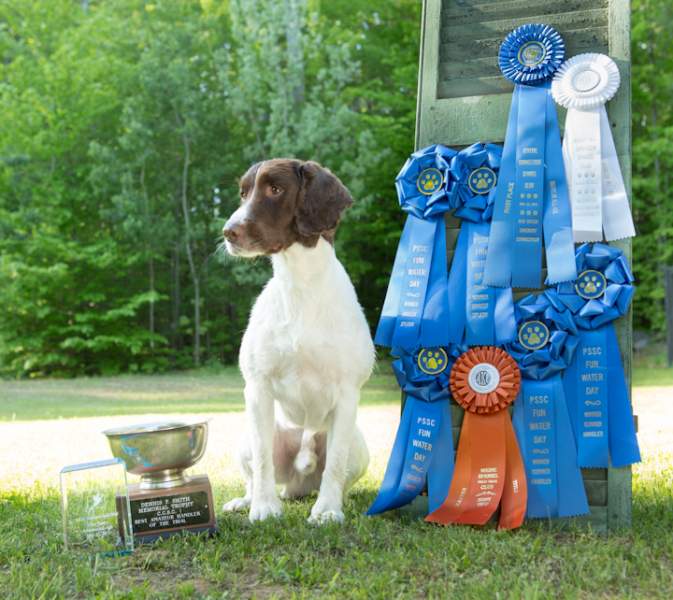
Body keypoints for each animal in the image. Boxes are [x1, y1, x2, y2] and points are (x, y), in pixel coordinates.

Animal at [223, 159, 376, 524]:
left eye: (275, 189)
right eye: (243, 192)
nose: (228, 232)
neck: (300, 285)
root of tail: (297, 483)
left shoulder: (348, 394)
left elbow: (334, 464)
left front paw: (327, 511)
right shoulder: (257, 388)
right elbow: (263, 461)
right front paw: (263, 508)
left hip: (359, 446)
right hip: (246, 438)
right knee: (253, 472)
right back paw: (246, 500)